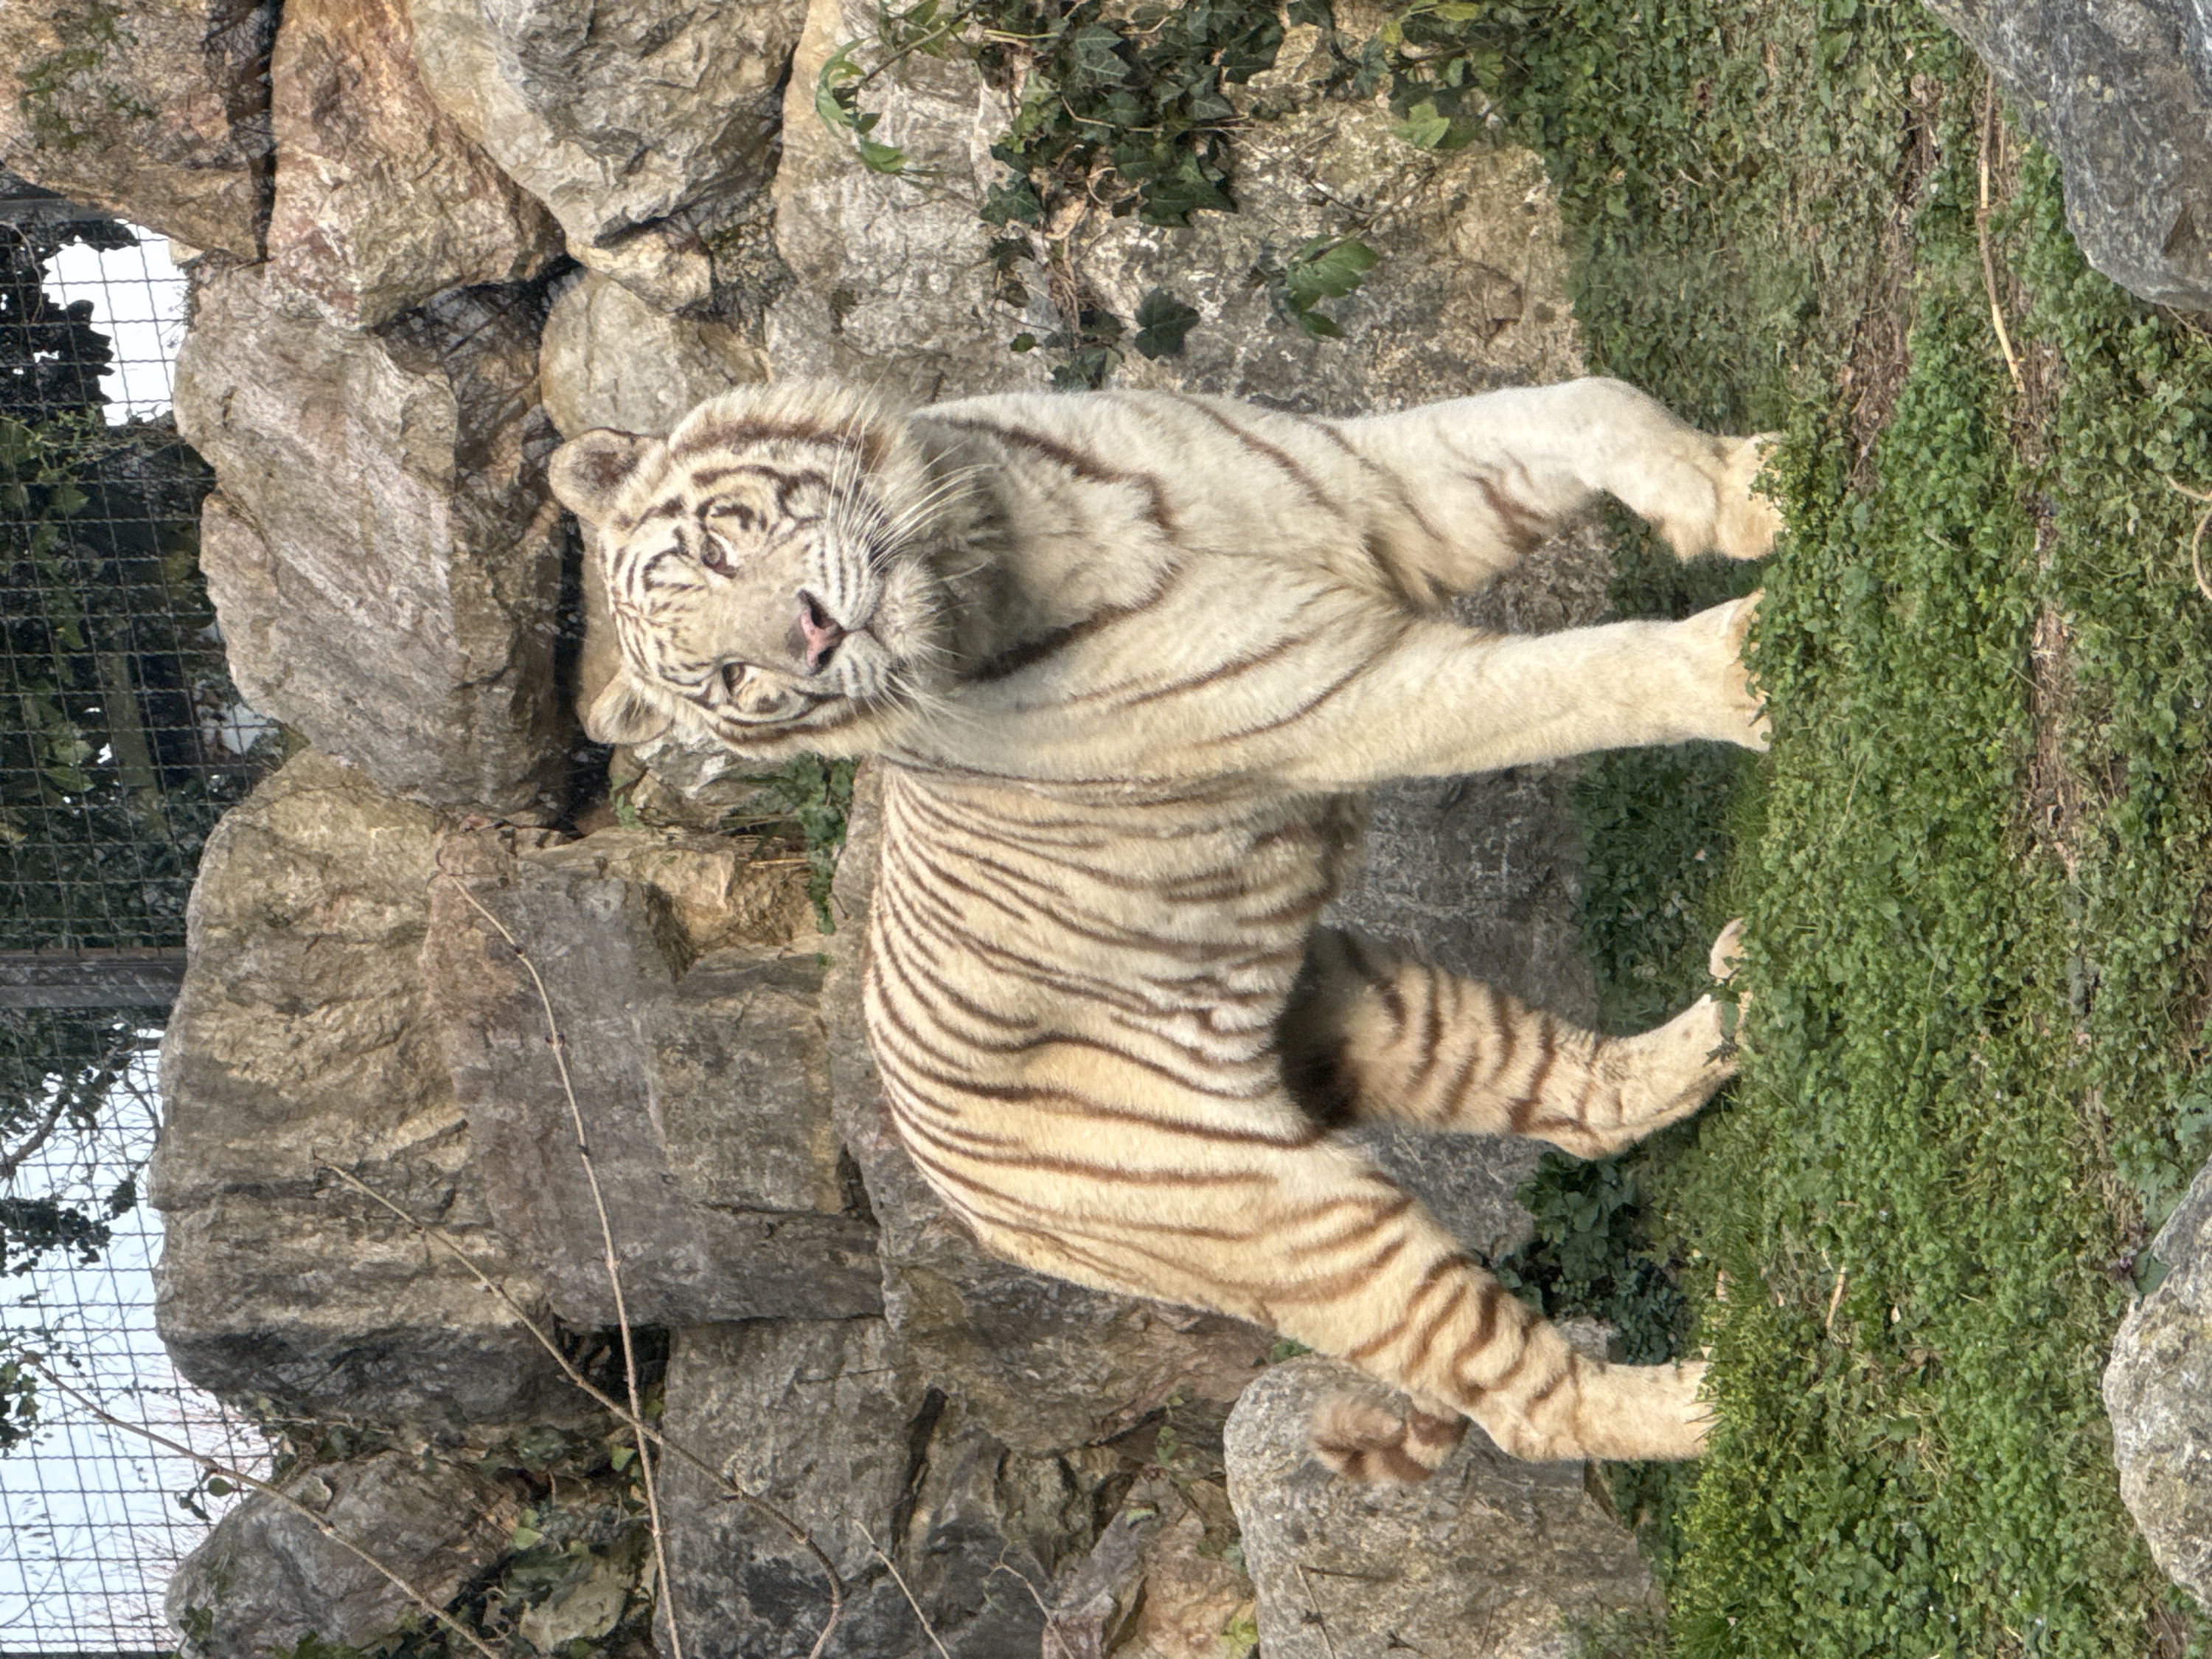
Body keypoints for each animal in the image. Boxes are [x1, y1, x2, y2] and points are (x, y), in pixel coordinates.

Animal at [546, 374, 1776, 1473]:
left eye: (719, 551)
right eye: (732, 679)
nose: (805, 647)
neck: (997, 528)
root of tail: (942, 1183)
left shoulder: (1373, 486)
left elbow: (1595, 404)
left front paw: (1750, 492)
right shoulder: (1347, 691)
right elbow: (1578, 678)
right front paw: (1751, 662)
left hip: (1370, 1001)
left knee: (1579, 1108)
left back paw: (1739, 1004)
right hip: (1289, 1219)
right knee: (1523, 1402)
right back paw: (1730, 1397)